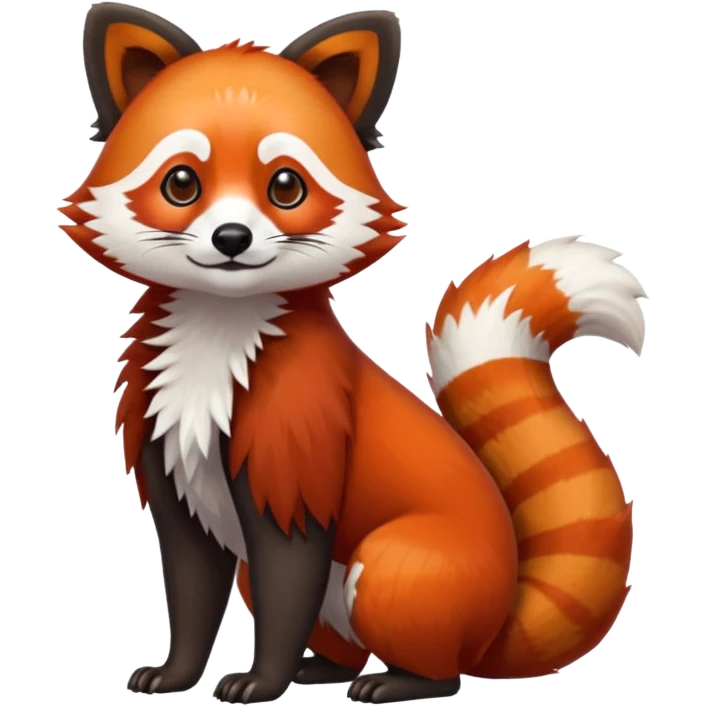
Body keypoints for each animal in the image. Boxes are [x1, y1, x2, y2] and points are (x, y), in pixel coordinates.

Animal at [60, 3, 647, 704]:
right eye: (181, 183)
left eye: (286, 186)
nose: (232, 238)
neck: (217, 336)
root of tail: (500, 617)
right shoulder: (171, 469)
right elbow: (192, 595)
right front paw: (176, 675)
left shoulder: (294, 469)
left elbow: (287, 588)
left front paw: (262, 683)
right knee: (335, 638)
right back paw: (325, 670)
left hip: (393, 565)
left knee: (444, 672)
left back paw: (395, 682)